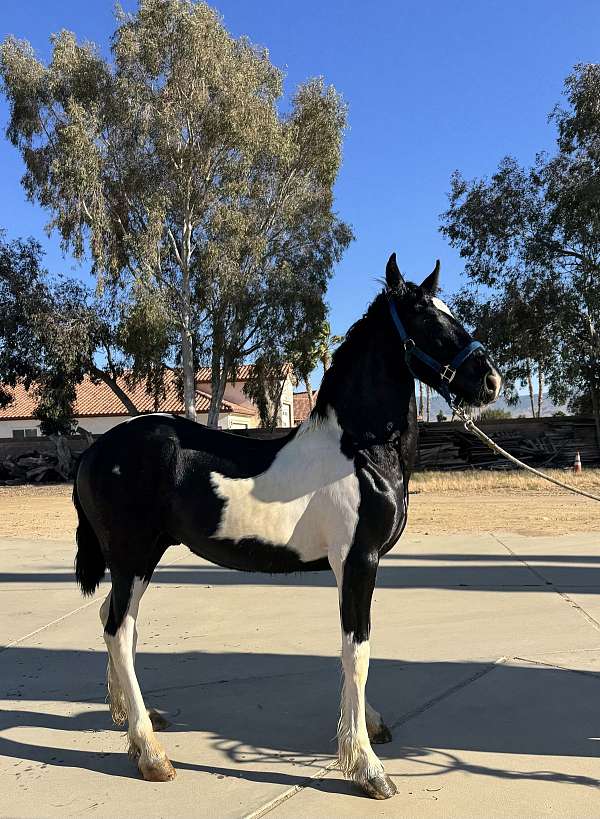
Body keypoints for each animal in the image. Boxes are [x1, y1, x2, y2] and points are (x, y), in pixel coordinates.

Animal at [73, 253, 501, 800]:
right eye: (427, 319)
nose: (489, 382)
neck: (359, 450)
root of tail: (95, 450)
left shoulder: (349, 568)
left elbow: (351, 650)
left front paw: (368, 729)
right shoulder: (359, 561)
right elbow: (358, 651)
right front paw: (367, 768)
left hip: (142, 560)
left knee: (115, 624)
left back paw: (132, 721)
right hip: (132, 556)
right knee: (117, 629)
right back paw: (150, 754)